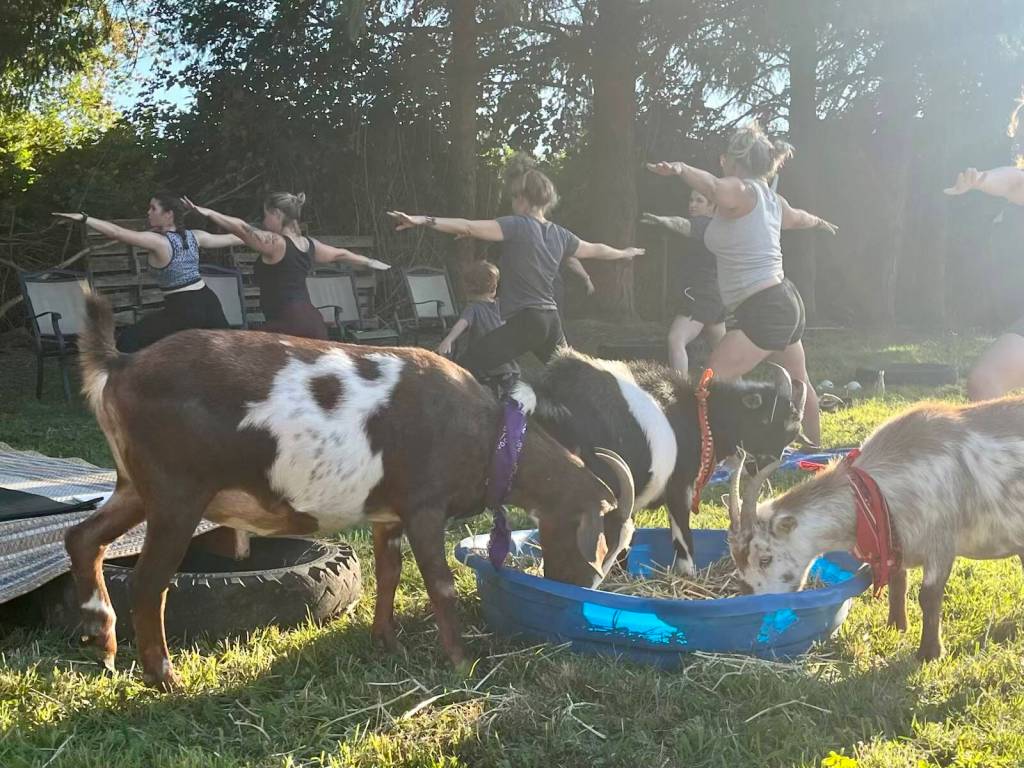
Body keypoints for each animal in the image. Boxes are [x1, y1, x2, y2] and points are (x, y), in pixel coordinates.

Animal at [67, 295, 635, 690]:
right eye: (603, 536)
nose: (584, 591)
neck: (489, 433)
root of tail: (119, 364)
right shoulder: (424, 505)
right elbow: (441, 584)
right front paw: (461, 662)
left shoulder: (387, 514)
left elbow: (389, 573)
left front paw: (386, 642)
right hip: (177, 493)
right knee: (149, 581)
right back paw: (164, 677)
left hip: (135, 486)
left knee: (83, 538)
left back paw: (101, 637)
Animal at [515, 349, 806, 575]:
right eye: (765, 421)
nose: (769, 465)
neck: (700, 416)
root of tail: (548, 392)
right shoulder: (678, 485)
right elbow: (682, 534)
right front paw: (688, 574)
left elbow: (627, 538)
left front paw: (621, 574)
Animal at [725, 397, 1024, 660]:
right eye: (735, 559)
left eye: (765, 559)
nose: (748, 597)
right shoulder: (895, 542)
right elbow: (898, 583)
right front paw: (896, 627)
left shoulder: (940, 542)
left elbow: (928, 596)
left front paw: (929, 654)